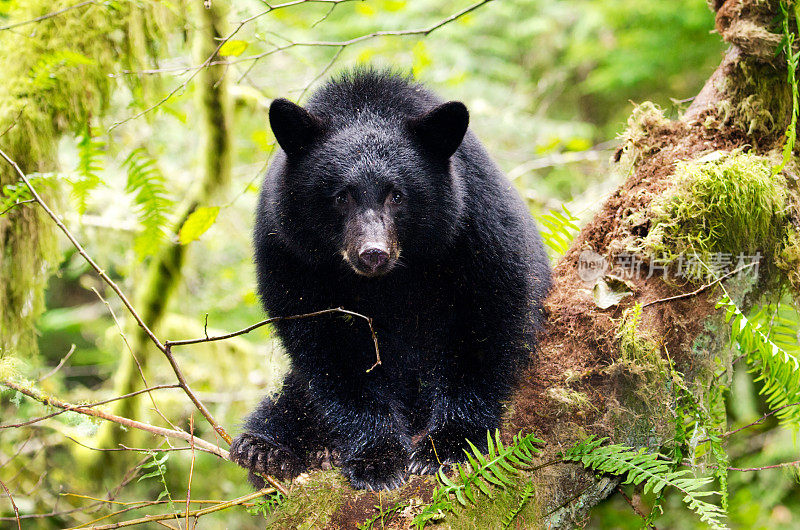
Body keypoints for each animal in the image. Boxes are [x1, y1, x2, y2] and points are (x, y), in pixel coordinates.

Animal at [231, 68, 552, 488]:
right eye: (342, 197)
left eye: (397, 195)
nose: (373, 253)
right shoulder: (290, 252)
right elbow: (330, 350)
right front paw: (377, 459)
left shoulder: (474, 225)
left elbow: (485, 321)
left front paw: (446, 446)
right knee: (294, 394)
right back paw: (267, 449)